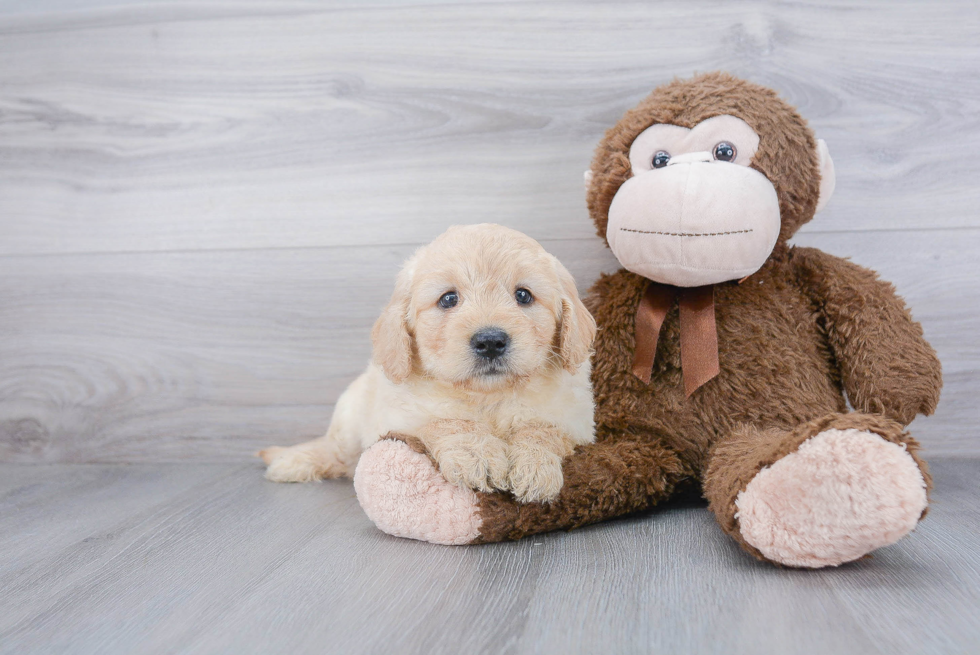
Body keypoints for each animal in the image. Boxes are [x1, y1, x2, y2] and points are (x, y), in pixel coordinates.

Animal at [258, 223, 596, 504]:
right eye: (448, 299)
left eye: (524, 295)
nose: (490, 342)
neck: (488, 397)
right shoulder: (402, 417)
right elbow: (449, 421)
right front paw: (478, 455)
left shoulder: (575, 421)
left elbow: (541, 430)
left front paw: (534, 467)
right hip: (350, 416)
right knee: (337, 452)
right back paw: (292, 462)